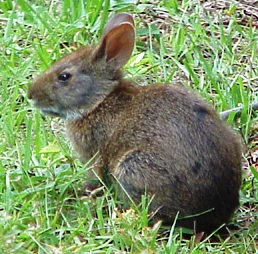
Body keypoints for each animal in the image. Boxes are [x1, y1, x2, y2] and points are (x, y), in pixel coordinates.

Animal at [28, 13, 242, 232]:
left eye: (64, 76)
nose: (31, 95)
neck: (98, 101)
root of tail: (216, 212)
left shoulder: (93, 155)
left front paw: (85, 192)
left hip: (133, 168)